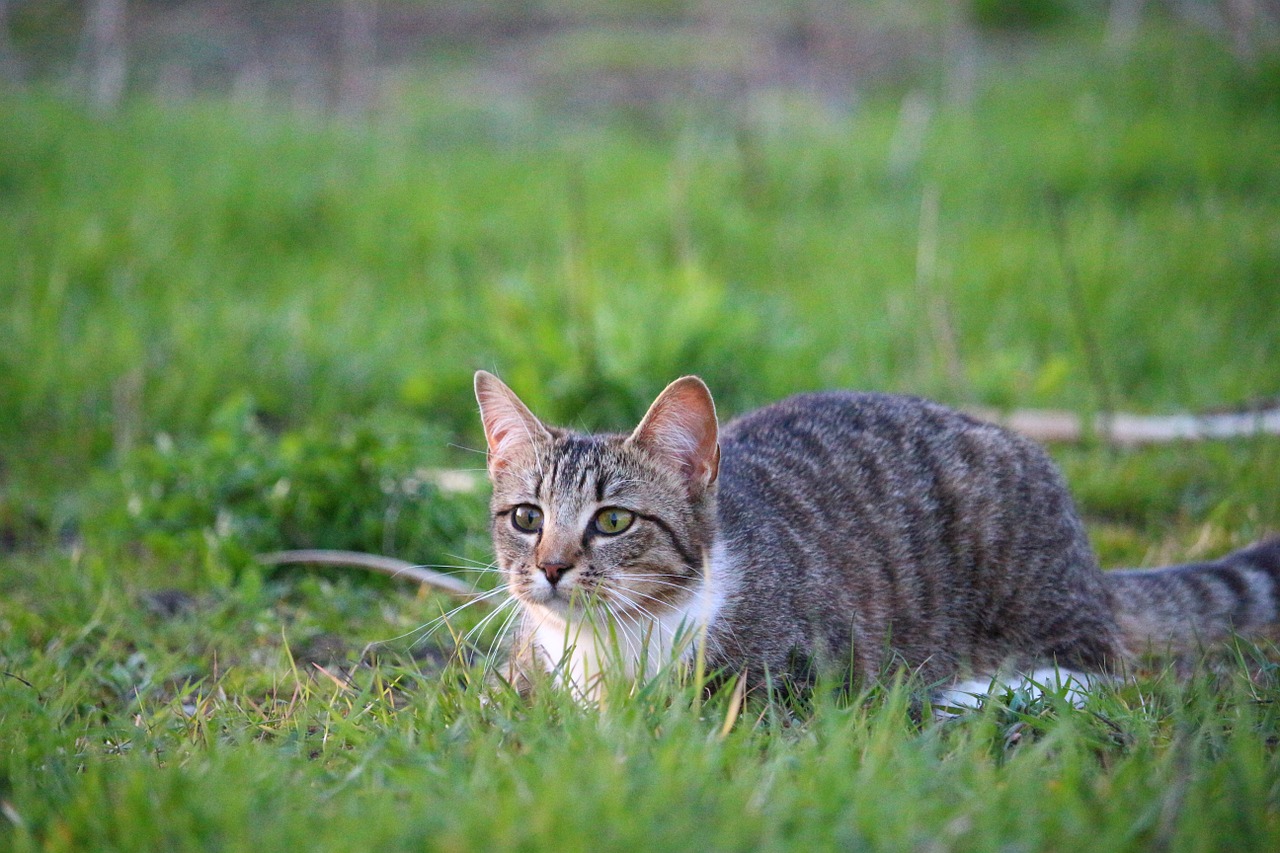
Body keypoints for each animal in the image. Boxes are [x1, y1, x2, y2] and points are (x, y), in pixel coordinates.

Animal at [473, 368, 1280, 701]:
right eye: (527, 517)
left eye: (613, 520)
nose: (550, 566)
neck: (611, 645)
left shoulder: (803, 679)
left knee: (1097, 669)